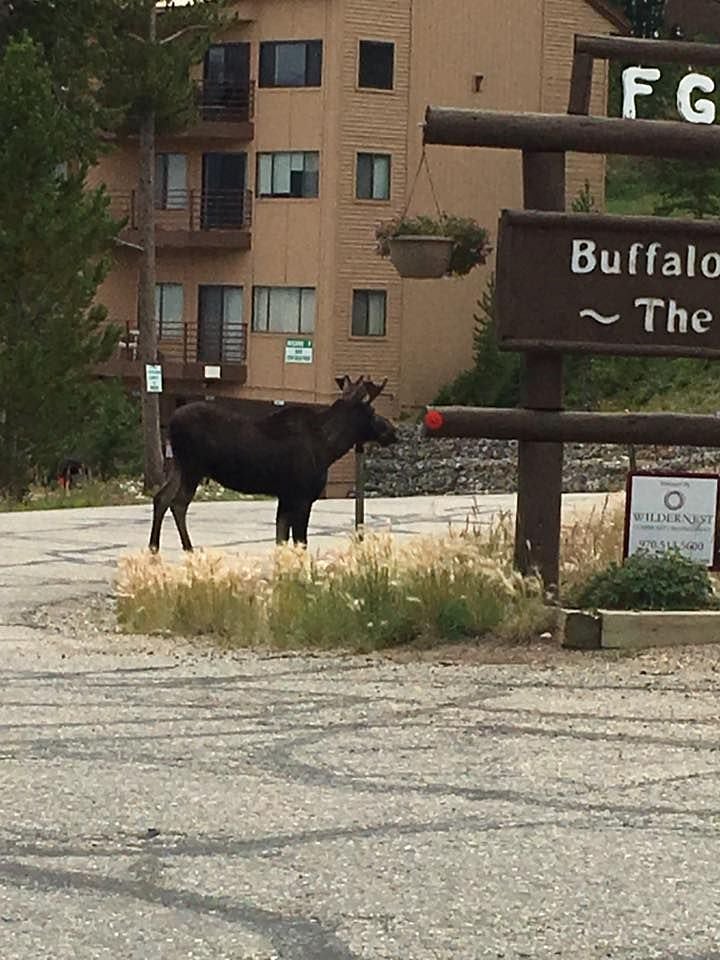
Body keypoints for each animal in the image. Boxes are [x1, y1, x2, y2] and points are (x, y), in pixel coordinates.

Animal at [148, 375, 397, 553]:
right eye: (372, 411)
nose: (392, 430)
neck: (329, 448)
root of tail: (170, 422)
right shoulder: (301, 496)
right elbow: (300, 542)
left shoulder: (285, 496)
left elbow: (281, 539)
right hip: (193, 467)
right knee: (178, 503)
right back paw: (188, 549)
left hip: (179, 465)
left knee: (161, 497)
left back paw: (154, 548)